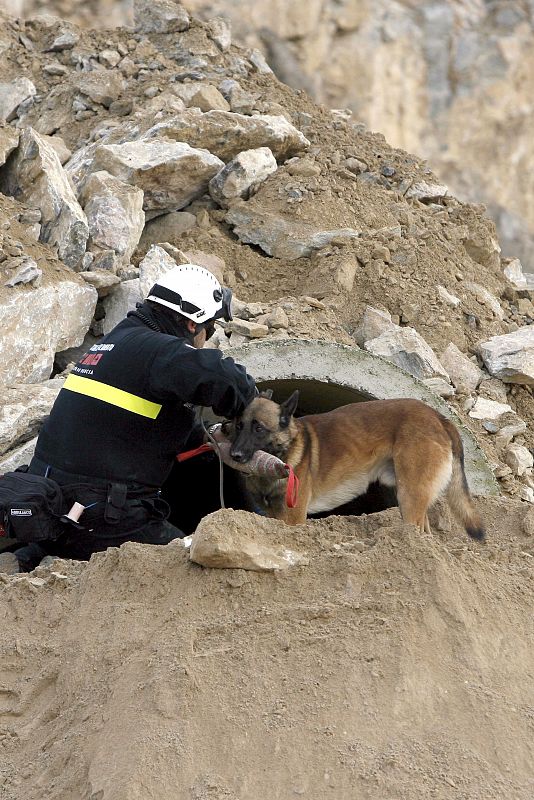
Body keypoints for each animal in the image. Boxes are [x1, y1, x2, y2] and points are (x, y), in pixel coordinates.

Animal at [228, 390, 488, 540]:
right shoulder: (273, 516)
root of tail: (439, 417)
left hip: (409, 496)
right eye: (239, 425)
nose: (234, 455)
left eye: (259, 428)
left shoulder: (293, 519)